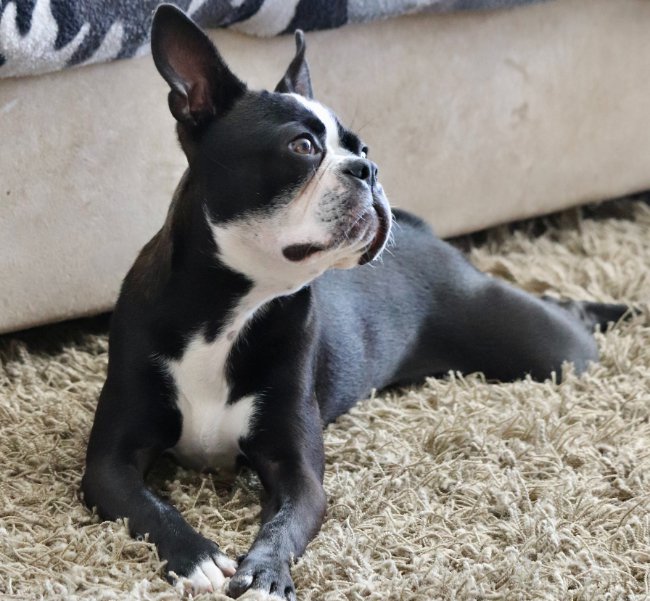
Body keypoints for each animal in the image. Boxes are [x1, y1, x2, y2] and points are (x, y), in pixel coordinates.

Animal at [78, 5, 624, 600]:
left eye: (362, 149)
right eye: (302, 147)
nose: (370, 169)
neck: (231, 307)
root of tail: (425, 232)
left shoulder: (297, 472)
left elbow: (284, 523)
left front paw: (265, 573)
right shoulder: (108, 464)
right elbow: (149, 507)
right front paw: (196, 555)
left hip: (546, 350)